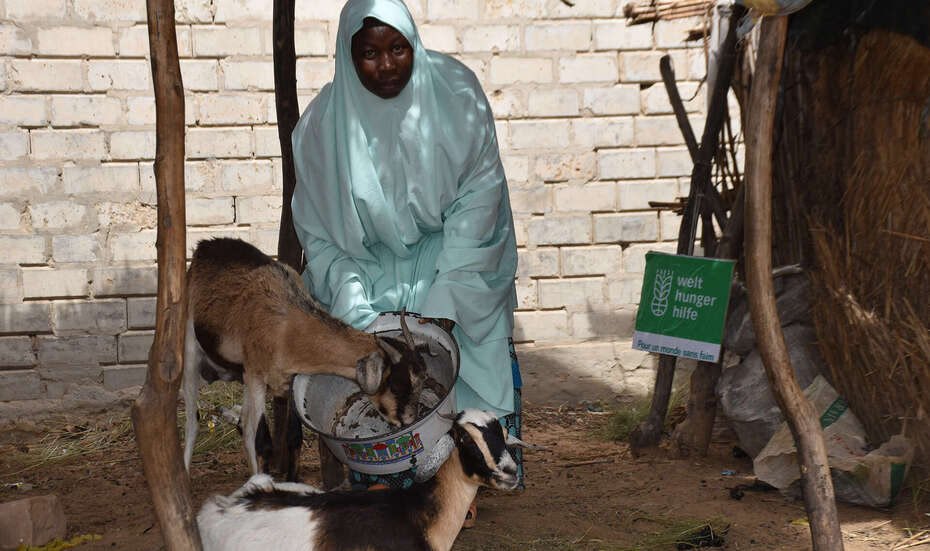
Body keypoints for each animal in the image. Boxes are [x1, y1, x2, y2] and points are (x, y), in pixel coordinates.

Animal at [182, 237, 427, 476]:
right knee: (193, 423)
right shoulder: (256, 375)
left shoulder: (288, 380)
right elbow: (263, 442)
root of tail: (203, 246)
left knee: (244, 426)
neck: (287, 325)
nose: (409, 420)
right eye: (395, 385)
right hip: (191, 349)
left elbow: (293, 437)